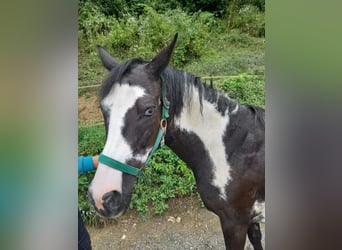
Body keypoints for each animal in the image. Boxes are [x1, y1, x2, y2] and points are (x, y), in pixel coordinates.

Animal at [88, 33, 264, 250]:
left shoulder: (235, 222)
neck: (233, 151)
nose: (102, 197)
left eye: (149, 110)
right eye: (103, 108)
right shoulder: (250, 219)